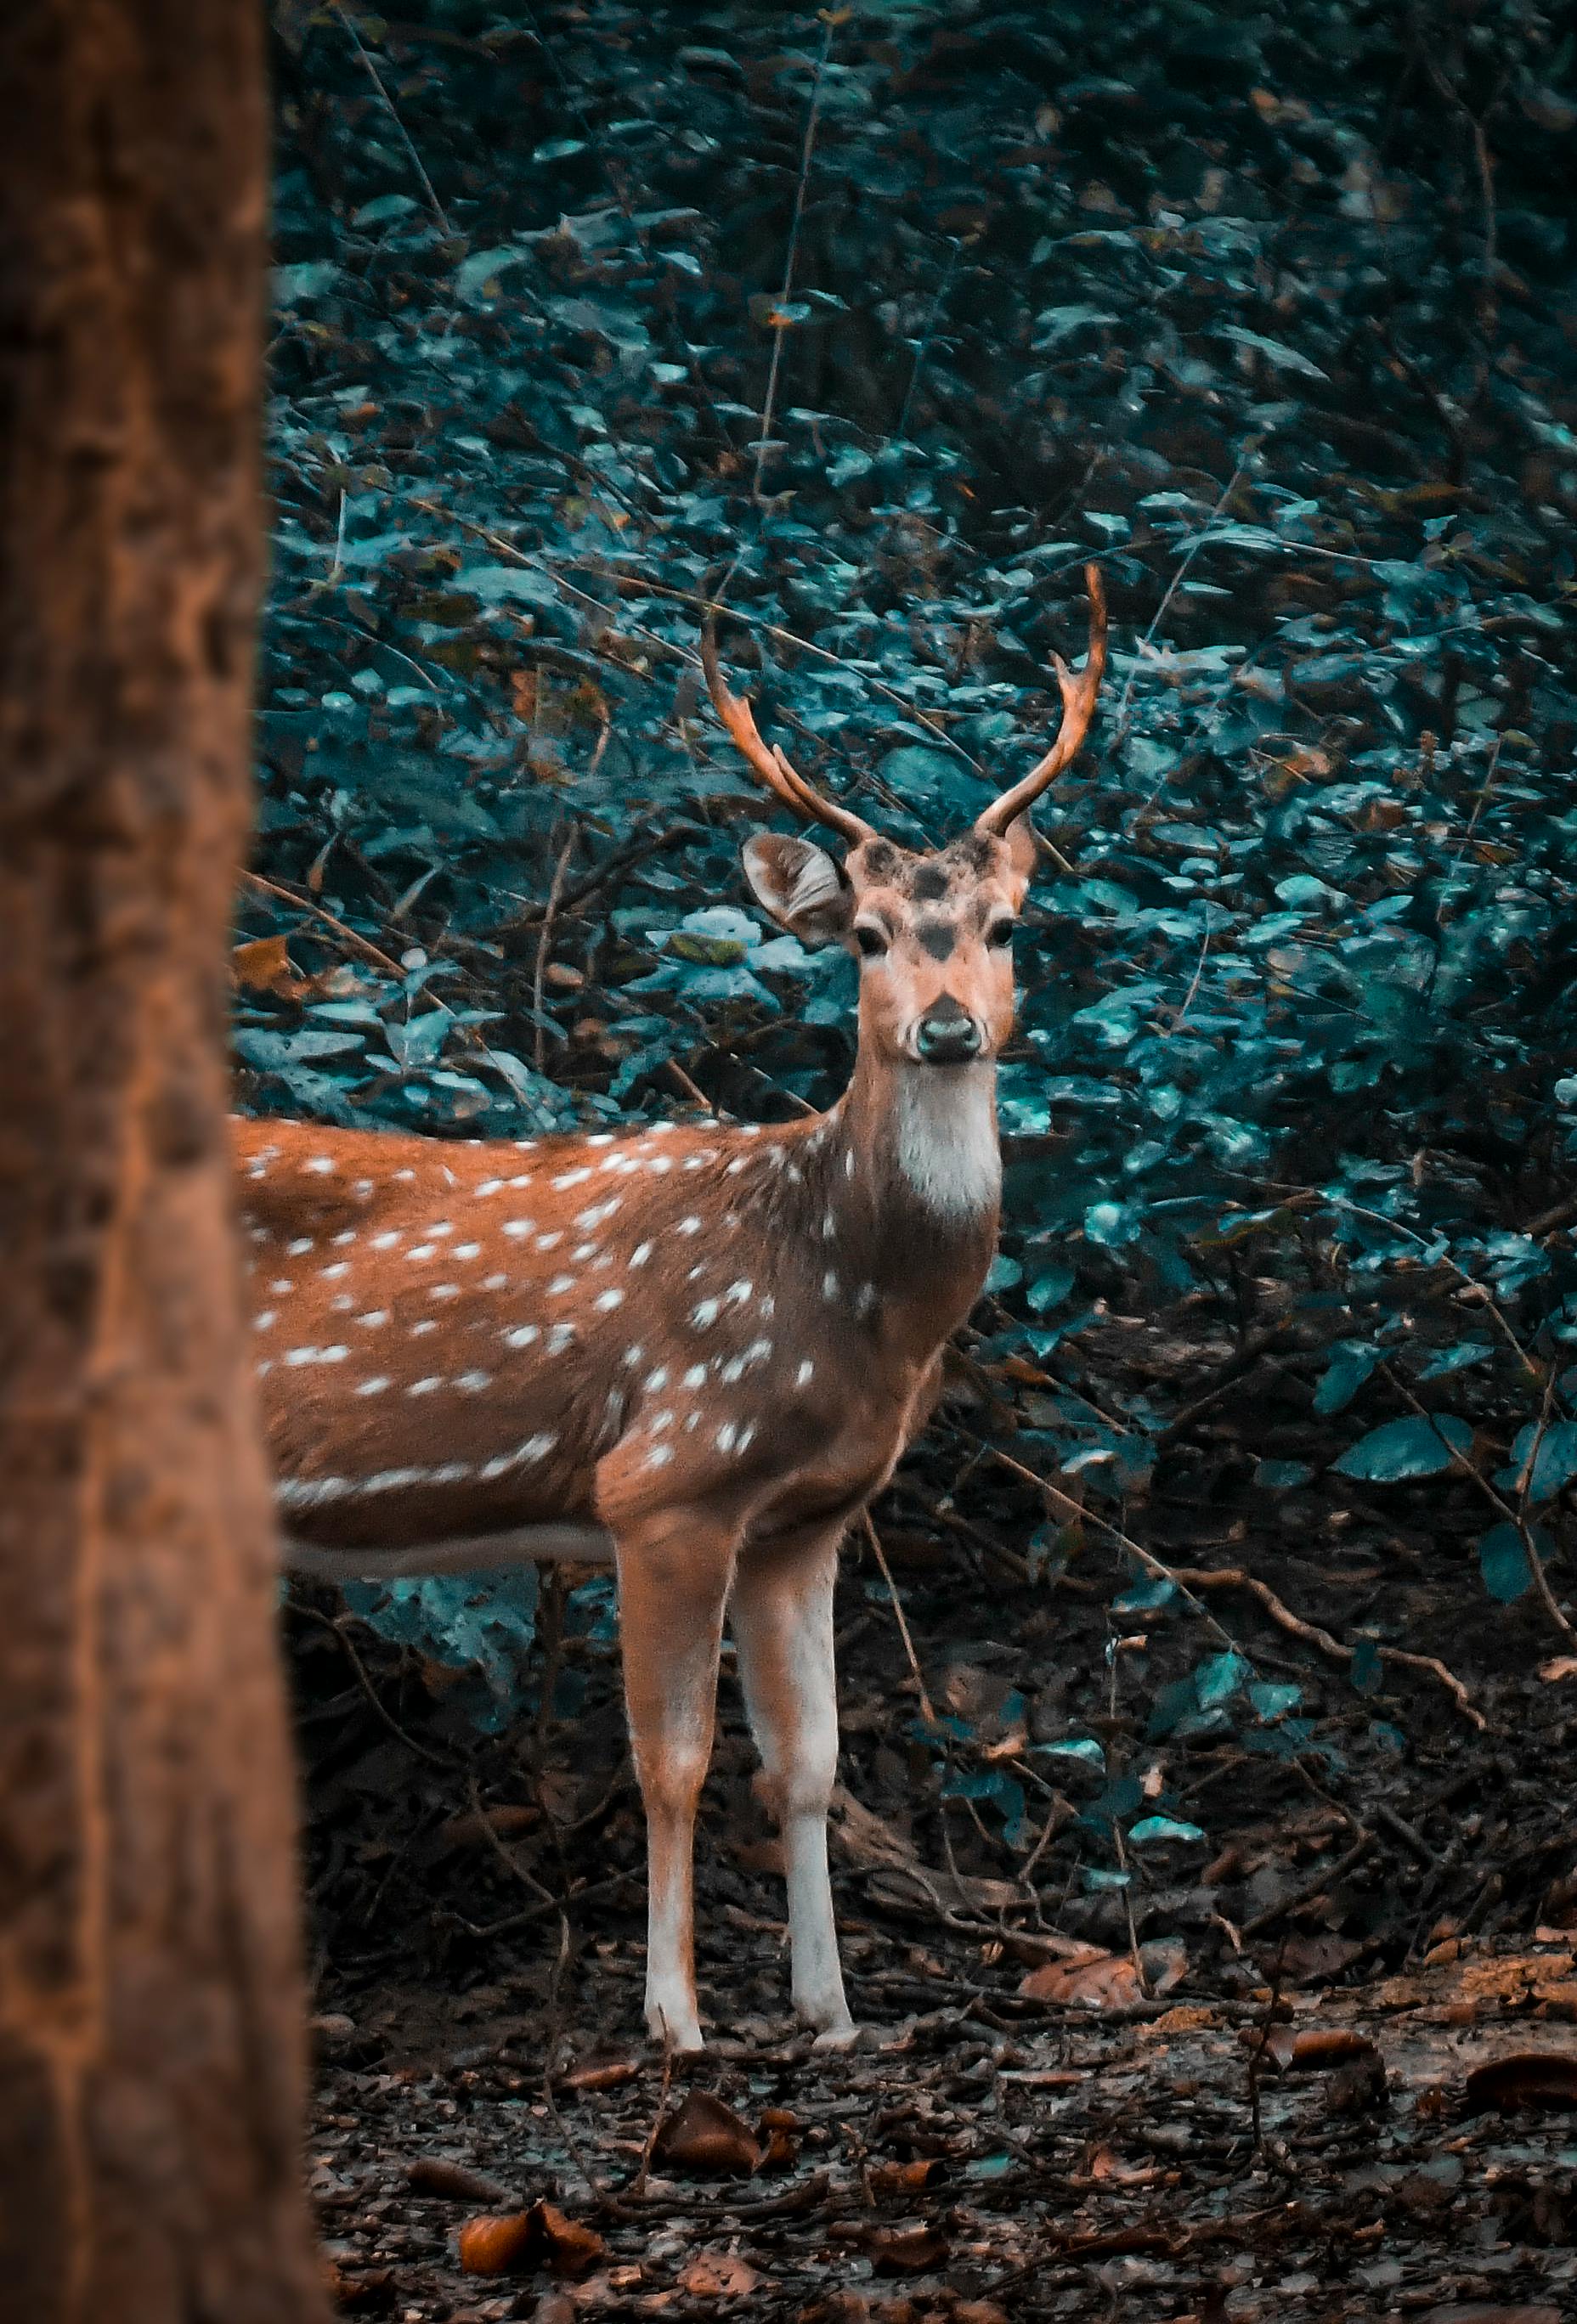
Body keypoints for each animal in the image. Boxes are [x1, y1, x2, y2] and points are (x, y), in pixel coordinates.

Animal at [243, 569, 1107, 2053]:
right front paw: (676, 2018)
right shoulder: (665, 1484)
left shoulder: (806, 1521)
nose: (947, 1029)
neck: (845, 1297)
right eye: (867, 937)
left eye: (1004, 929)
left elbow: (810, 1765)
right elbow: (675, 1765)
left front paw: (833, 2013)